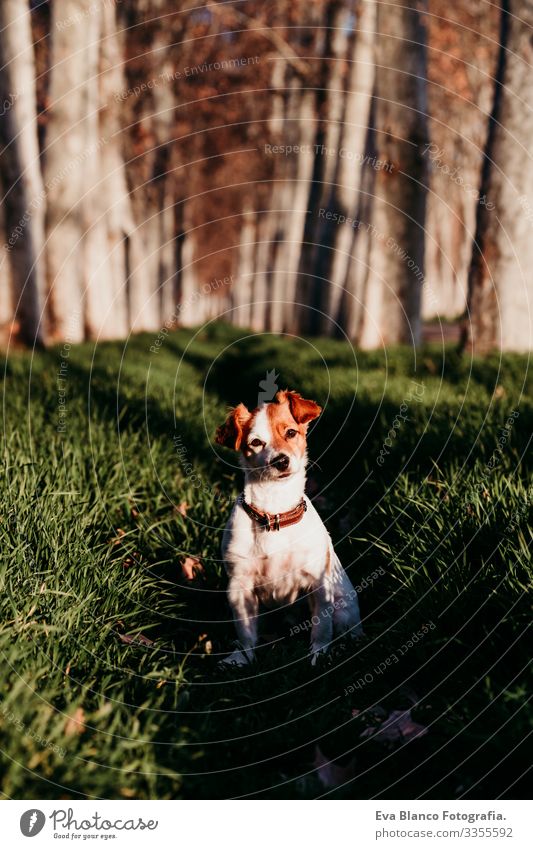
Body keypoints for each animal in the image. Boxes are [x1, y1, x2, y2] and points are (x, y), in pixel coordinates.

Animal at [215, 390, 362, 664]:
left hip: (343, 609)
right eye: (255, 442)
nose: (281, 460)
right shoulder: (240, 586)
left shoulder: (318, 581)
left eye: (291, 432)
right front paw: (242, 659)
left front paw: (319, 656)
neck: (275, 513)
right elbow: (245, 632)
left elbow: (321, 629)